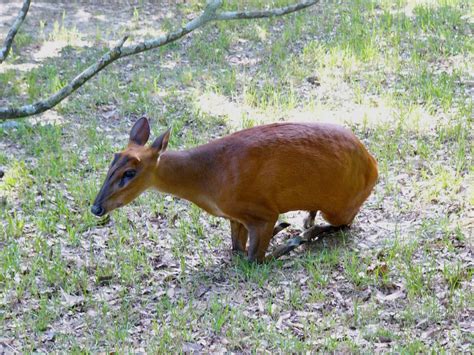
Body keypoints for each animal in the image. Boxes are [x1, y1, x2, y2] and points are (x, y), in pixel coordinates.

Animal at [91, 118, 378, 262]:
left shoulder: (262, 211)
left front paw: (287, 241)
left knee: (342, 225)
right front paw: (283, 232)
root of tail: (373, 165)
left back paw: (303, 232)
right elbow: (237, 249)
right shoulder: (235, 216)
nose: (96, 207)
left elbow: (254, 258)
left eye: (130, 172)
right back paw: (305, 220)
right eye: (113, 159)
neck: (207, 179)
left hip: (341, 205)